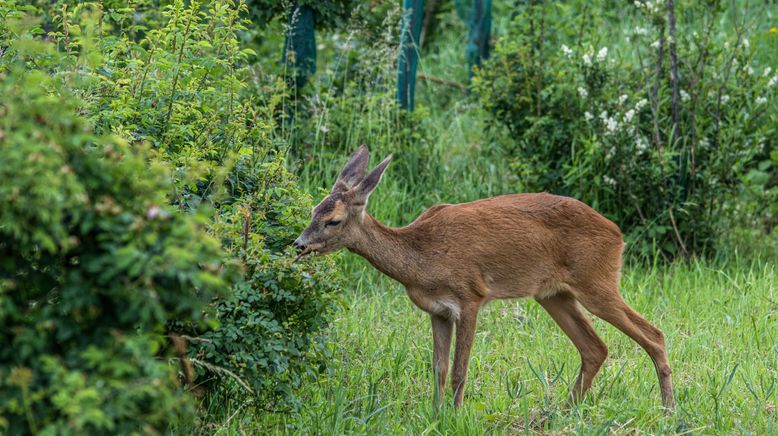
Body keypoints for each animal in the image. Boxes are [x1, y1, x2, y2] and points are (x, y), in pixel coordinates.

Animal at [292, 145, 672, 410]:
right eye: (313, 210)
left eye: (334, 220)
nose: (299, 244)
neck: (421, 258)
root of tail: (617, 234)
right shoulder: (437, 311)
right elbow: (439, 368)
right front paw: (435, 414)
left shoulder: (470, 296)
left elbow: (460, 370)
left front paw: (455, 414)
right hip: (553, 294)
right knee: (595, 347)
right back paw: (561, 412)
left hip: (597, 281)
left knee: (653, 334)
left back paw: (668, 410)